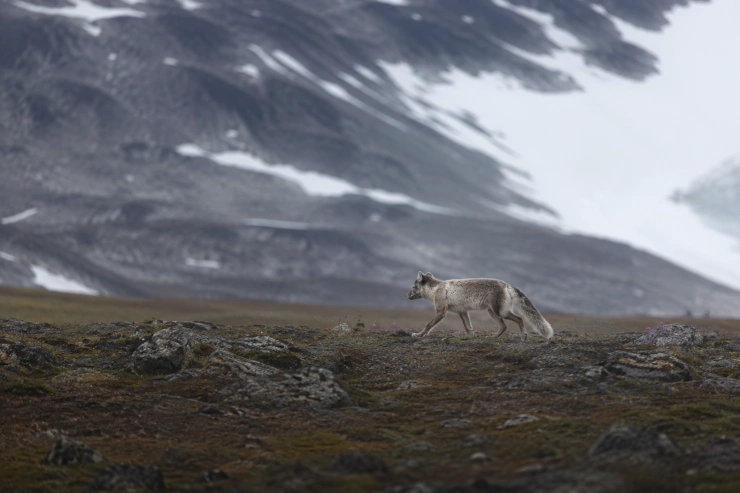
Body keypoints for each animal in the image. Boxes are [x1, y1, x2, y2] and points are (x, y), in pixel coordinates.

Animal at [406, 272, 554, 341]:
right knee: (504, 326)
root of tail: (506, 284)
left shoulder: (441, 311)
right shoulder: (462, 311)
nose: (406, 295)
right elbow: (468, 327)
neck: (436, 289)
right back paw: (493, 338)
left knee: (519, 319)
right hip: (492, 312)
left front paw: (418, 335)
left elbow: (428, 325)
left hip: (500, 312)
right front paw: (472, 337)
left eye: (413, 287)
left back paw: (523, 337)